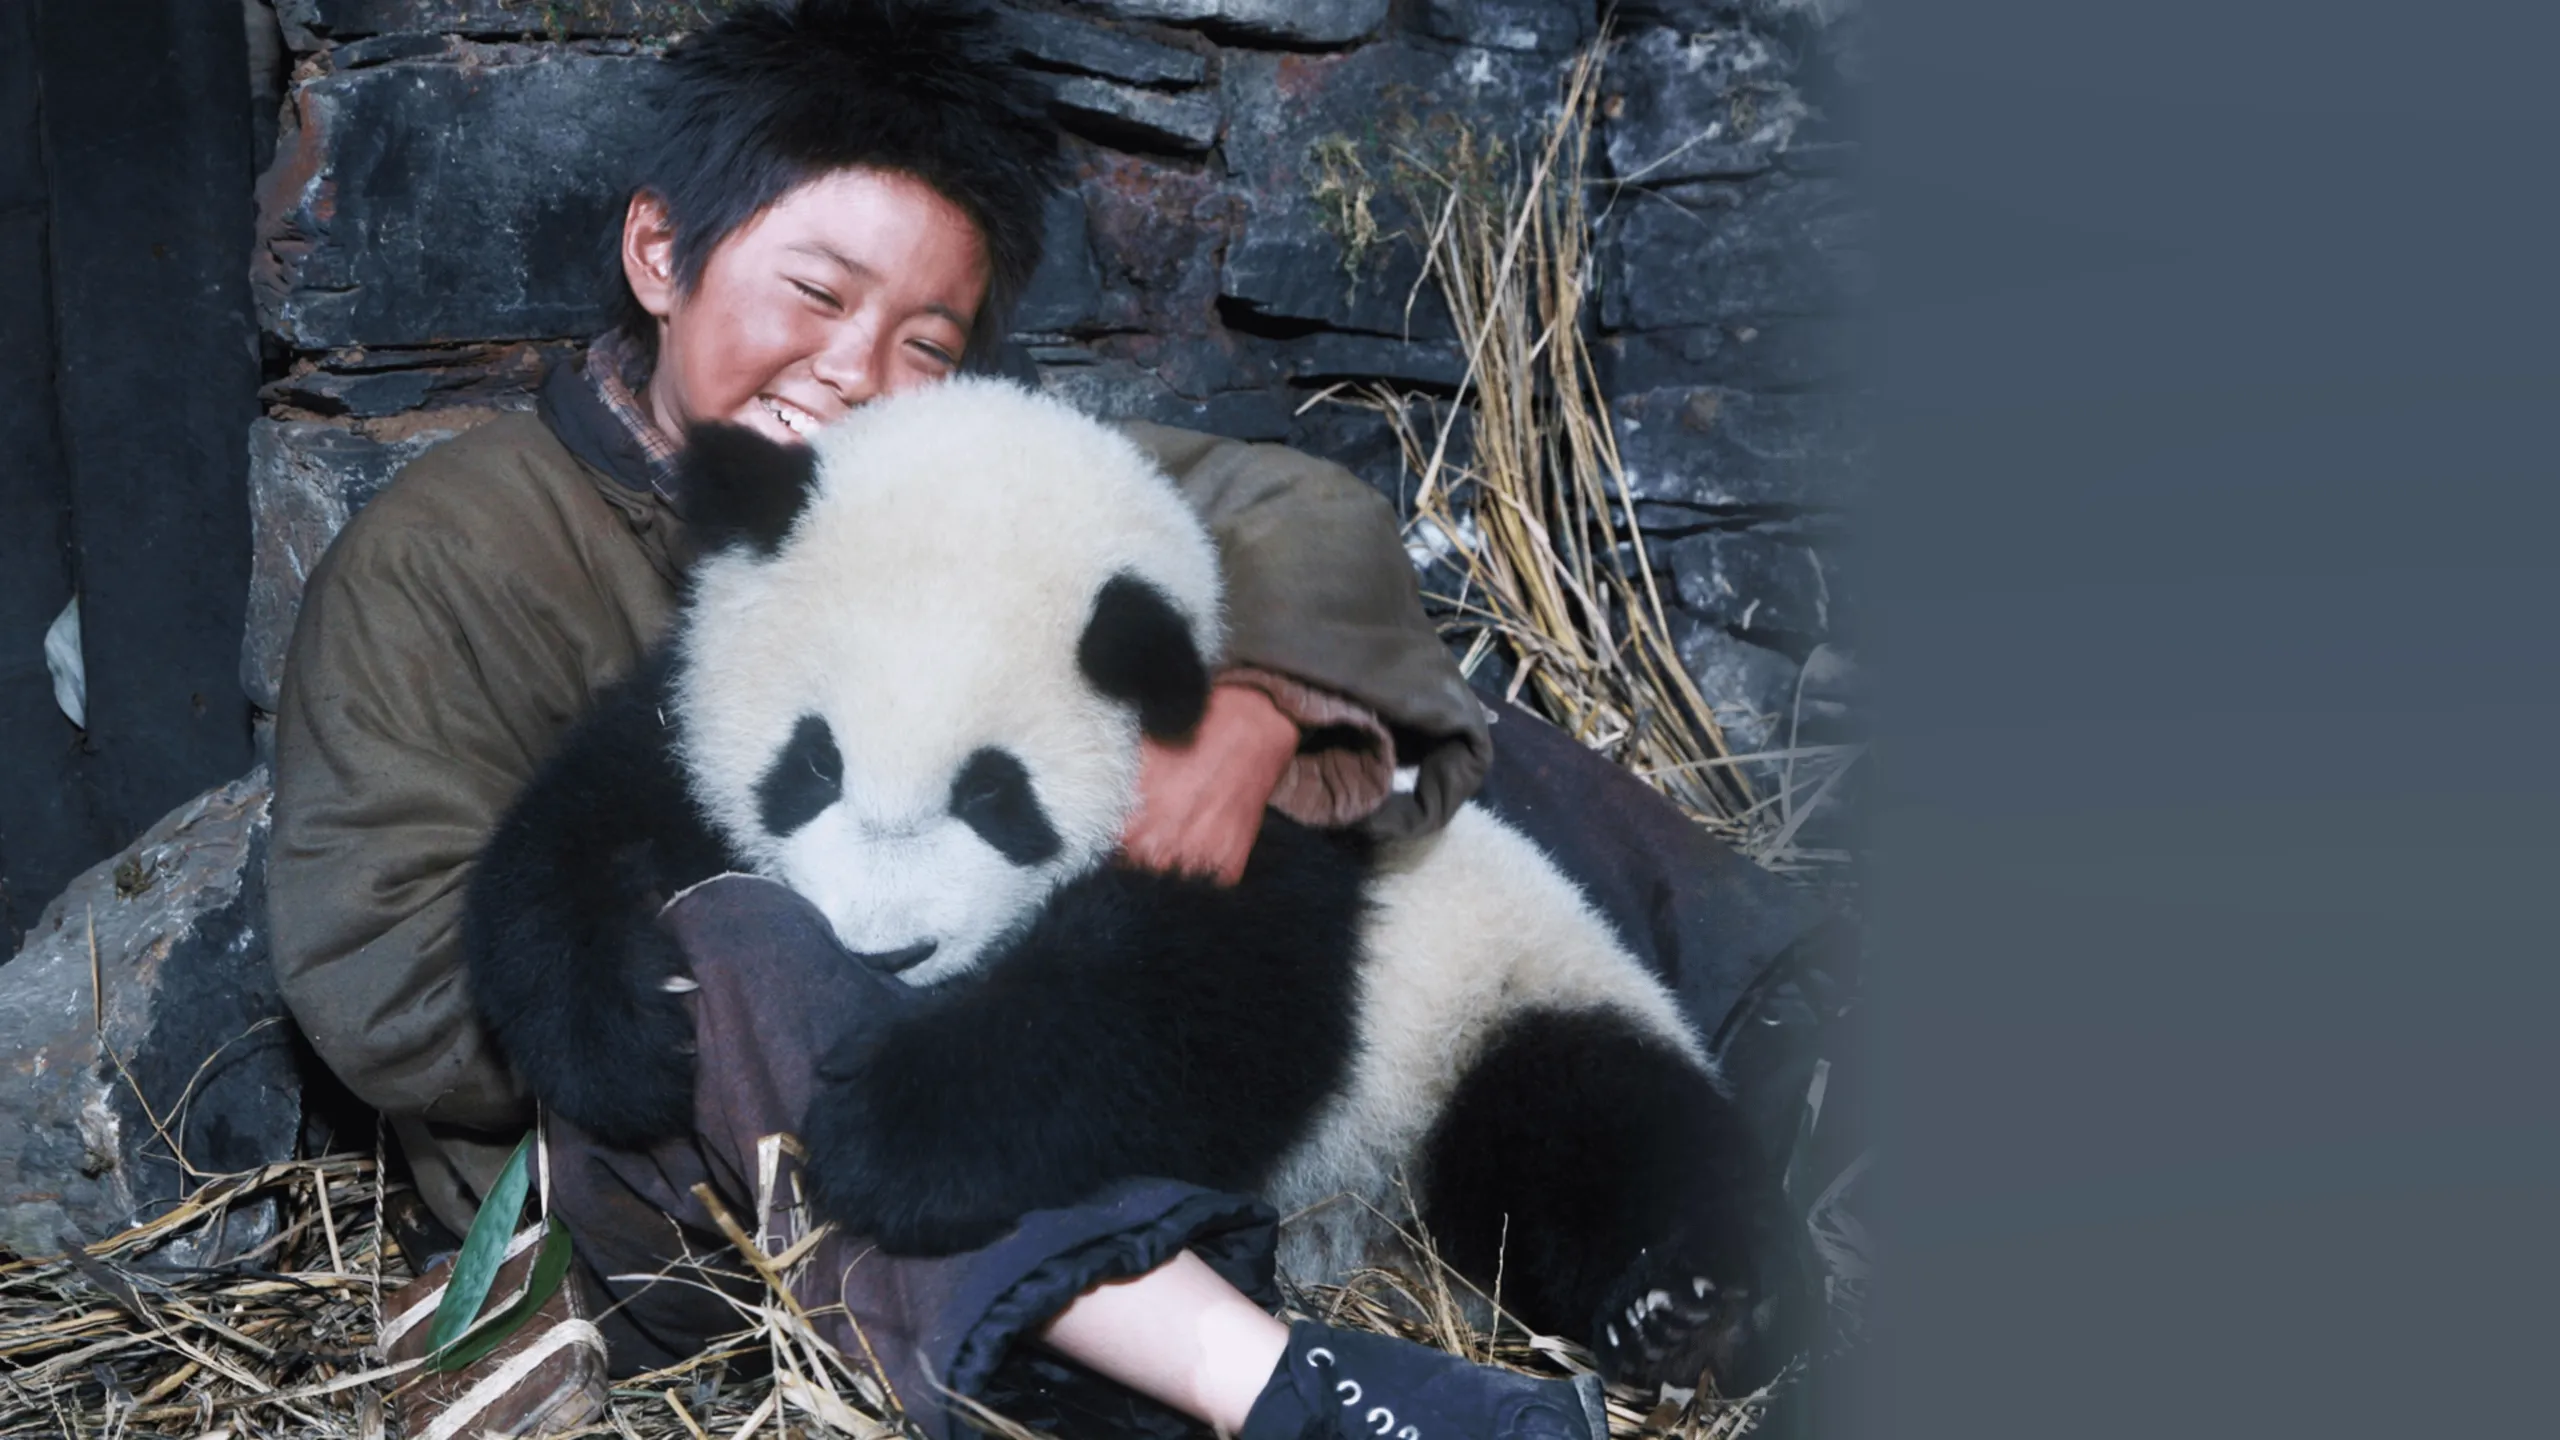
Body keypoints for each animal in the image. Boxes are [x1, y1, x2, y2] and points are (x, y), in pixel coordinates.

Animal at [464, 376, 1798, 1396]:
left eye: (995, 796)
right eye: (812, 762)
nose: (884, 953)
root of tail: (1374, 1231)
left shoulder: (1262, 828)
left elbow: (1187, 1018)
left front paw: (890, 1135)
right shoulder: (678, 728)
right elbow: (584, 828)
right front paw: (623, 1035)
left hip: (1496, 993)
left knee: (1583, 1119)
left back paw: (1683, 1310)